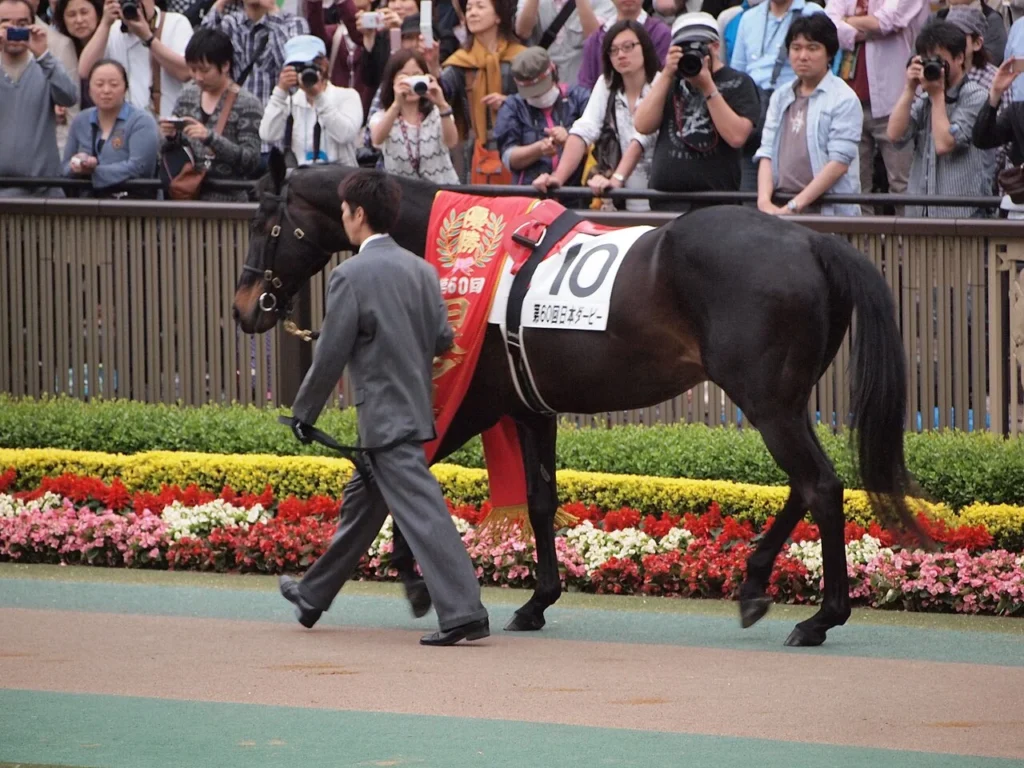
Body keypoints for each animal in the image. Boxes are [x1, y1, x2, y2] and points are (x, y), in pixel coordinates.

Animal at [232, 151, 927, 648]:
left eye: (268, 225)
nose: (245, 309)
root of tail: (812, 242)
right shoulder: (530, 406)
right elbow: (540, 501)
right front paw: (536, 601)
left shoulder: (475, 400)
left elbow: (391, 474)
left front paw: (411, 578)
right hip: (783, 399)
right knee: (807, 485)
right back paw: (756, 584)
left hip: (766, 400)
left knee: (822, 487)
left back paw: (818, 617)